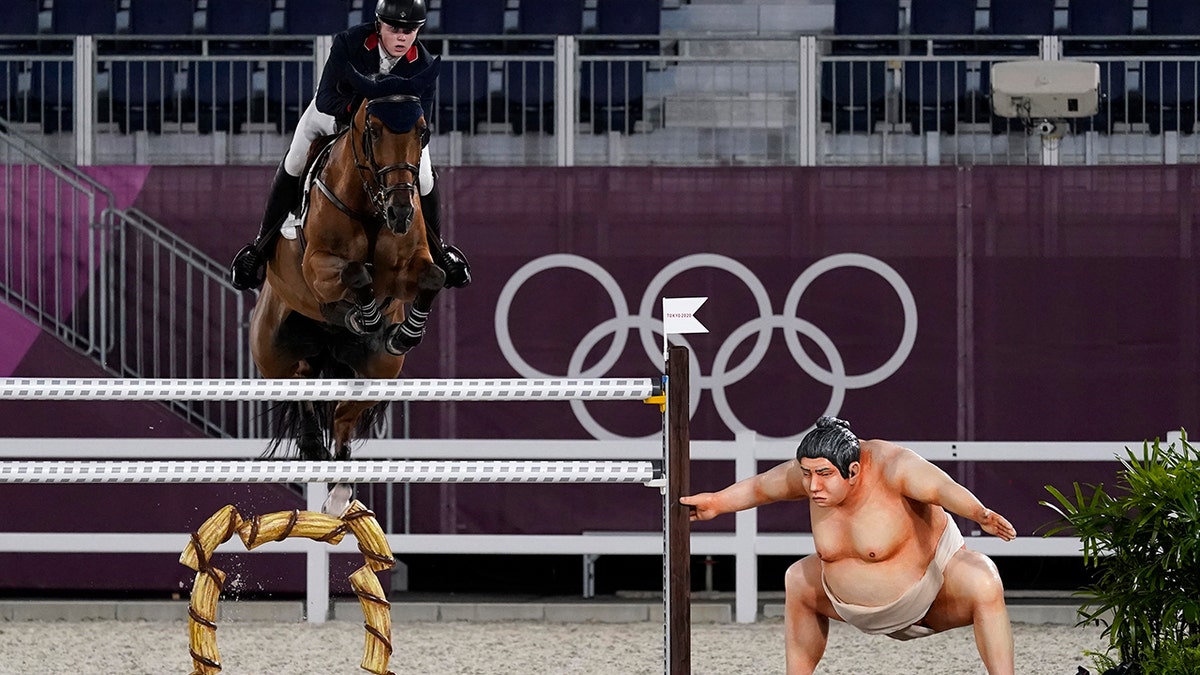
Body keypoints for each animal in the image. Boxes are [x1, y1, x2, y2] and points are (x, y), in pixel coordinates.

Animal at [252, 64, 446, 514]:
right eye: (373, 130)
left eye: (423, 131)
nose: (400, 211)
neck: (371, 207)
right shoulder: (317, 266)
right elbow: (357, 275)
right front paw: (363, 316)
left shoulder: (406, 271)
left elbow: (433, 277)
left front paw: (403, 332)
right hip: (272, 354)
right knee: (300, 390)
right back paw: (313, 448)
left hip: (379, 372)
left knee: (342, 416)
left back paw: (340, 489)